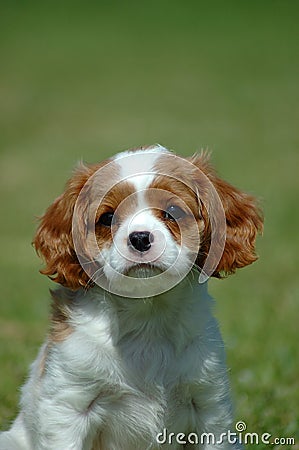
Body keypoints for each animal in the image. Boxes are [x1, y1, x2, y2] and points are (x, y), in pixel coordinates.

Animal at [0, 146, 262, 448]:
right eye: (107, 218)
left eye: (173, 211)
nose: (139, 238)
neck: (147, 315)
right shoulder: (68, 405)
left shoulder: (209, 405)